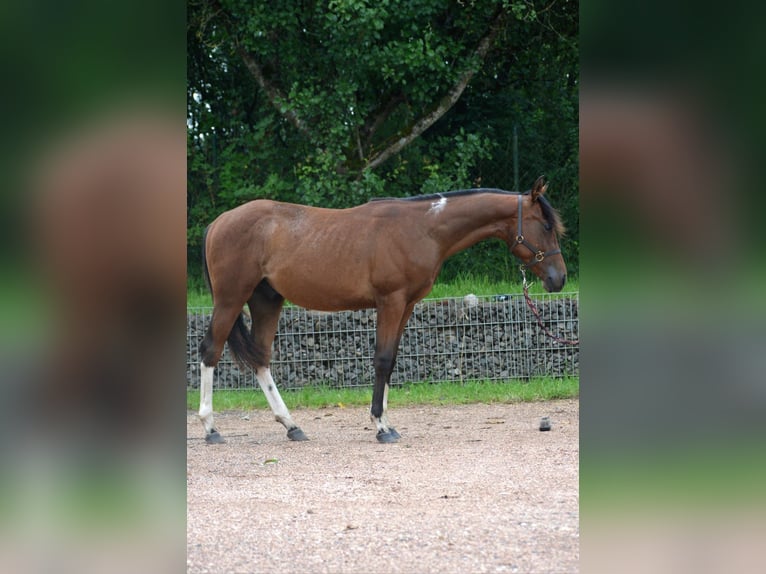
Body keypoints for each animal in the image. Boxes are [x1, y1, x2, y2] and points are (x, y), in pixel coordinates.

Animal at [201, 178, 568, 444]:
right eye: (546, 226)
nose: (559, 278)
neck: (422, 227)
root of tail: (218, 223)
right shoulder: (390, 302)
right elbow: (381, 359)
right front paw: (380, 426)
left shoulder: (406, 305)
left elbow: (390, 361)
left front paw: (388, 423)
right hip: (231, 299)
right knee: (211, 351)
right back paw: (210, 429)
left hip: (266, 301)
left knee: (261, 359)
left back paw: (292, 426)